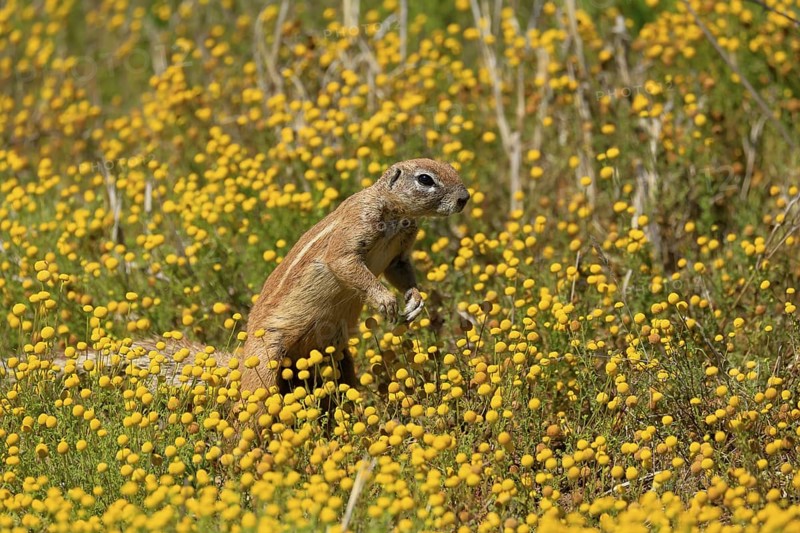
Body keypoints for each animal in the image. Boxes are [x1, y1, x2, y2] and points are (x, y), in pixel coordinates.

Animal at [47, 159, 469, 404]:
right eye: (426, 179)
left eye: (451, 166)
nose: (465, 197)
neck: (395, 212)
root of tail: (239, 357)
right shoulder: (352, 233)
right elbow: (346, 263)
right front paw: (384, 301)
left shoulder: (399, 252)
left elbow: (401, 269)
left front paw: (414, 301)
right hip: (267, 364)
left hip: (336, 357)